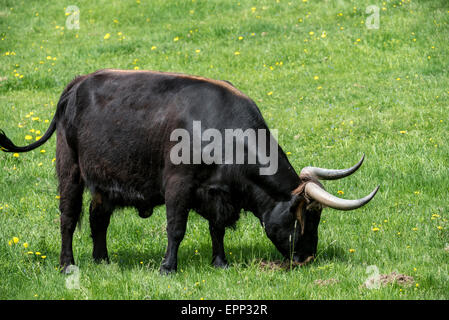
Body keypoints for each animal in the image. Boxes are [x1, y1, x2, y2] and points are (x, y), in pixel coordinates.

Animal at [0, 69, 378, 274]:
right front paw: (168, 267)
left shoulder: (217, 194)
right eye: (306, 217)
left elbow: (217, 230)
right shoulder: (178, 185)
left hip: (105, 183)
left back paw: (102, 260)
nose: (307, 258)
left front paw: (220, 262)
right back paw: (68, 264)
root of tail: (78, 82)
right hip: (70, 170)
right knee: (67, 217)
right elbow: (176, 228)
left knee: (97, 218)